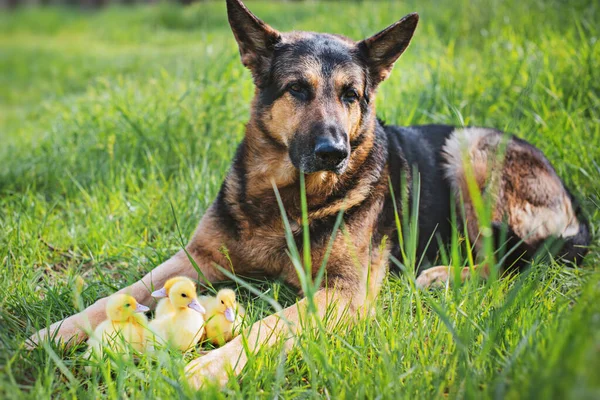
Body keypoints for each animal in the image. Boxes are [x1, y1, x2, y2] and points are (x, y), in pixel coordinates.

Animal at [30, 0, 588, 390]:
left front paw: (207, 369)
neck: (285, 198)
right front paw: (56, 332)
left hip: (470, 147)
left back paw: (444, 276)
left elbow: (266, 327)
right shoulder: (197, 256)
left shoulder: (343, 292)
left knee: (520, 259)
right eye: (297, 89)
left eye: (351, 95)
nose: (333, 152)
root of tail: (571, 199)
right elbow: (120, 293)